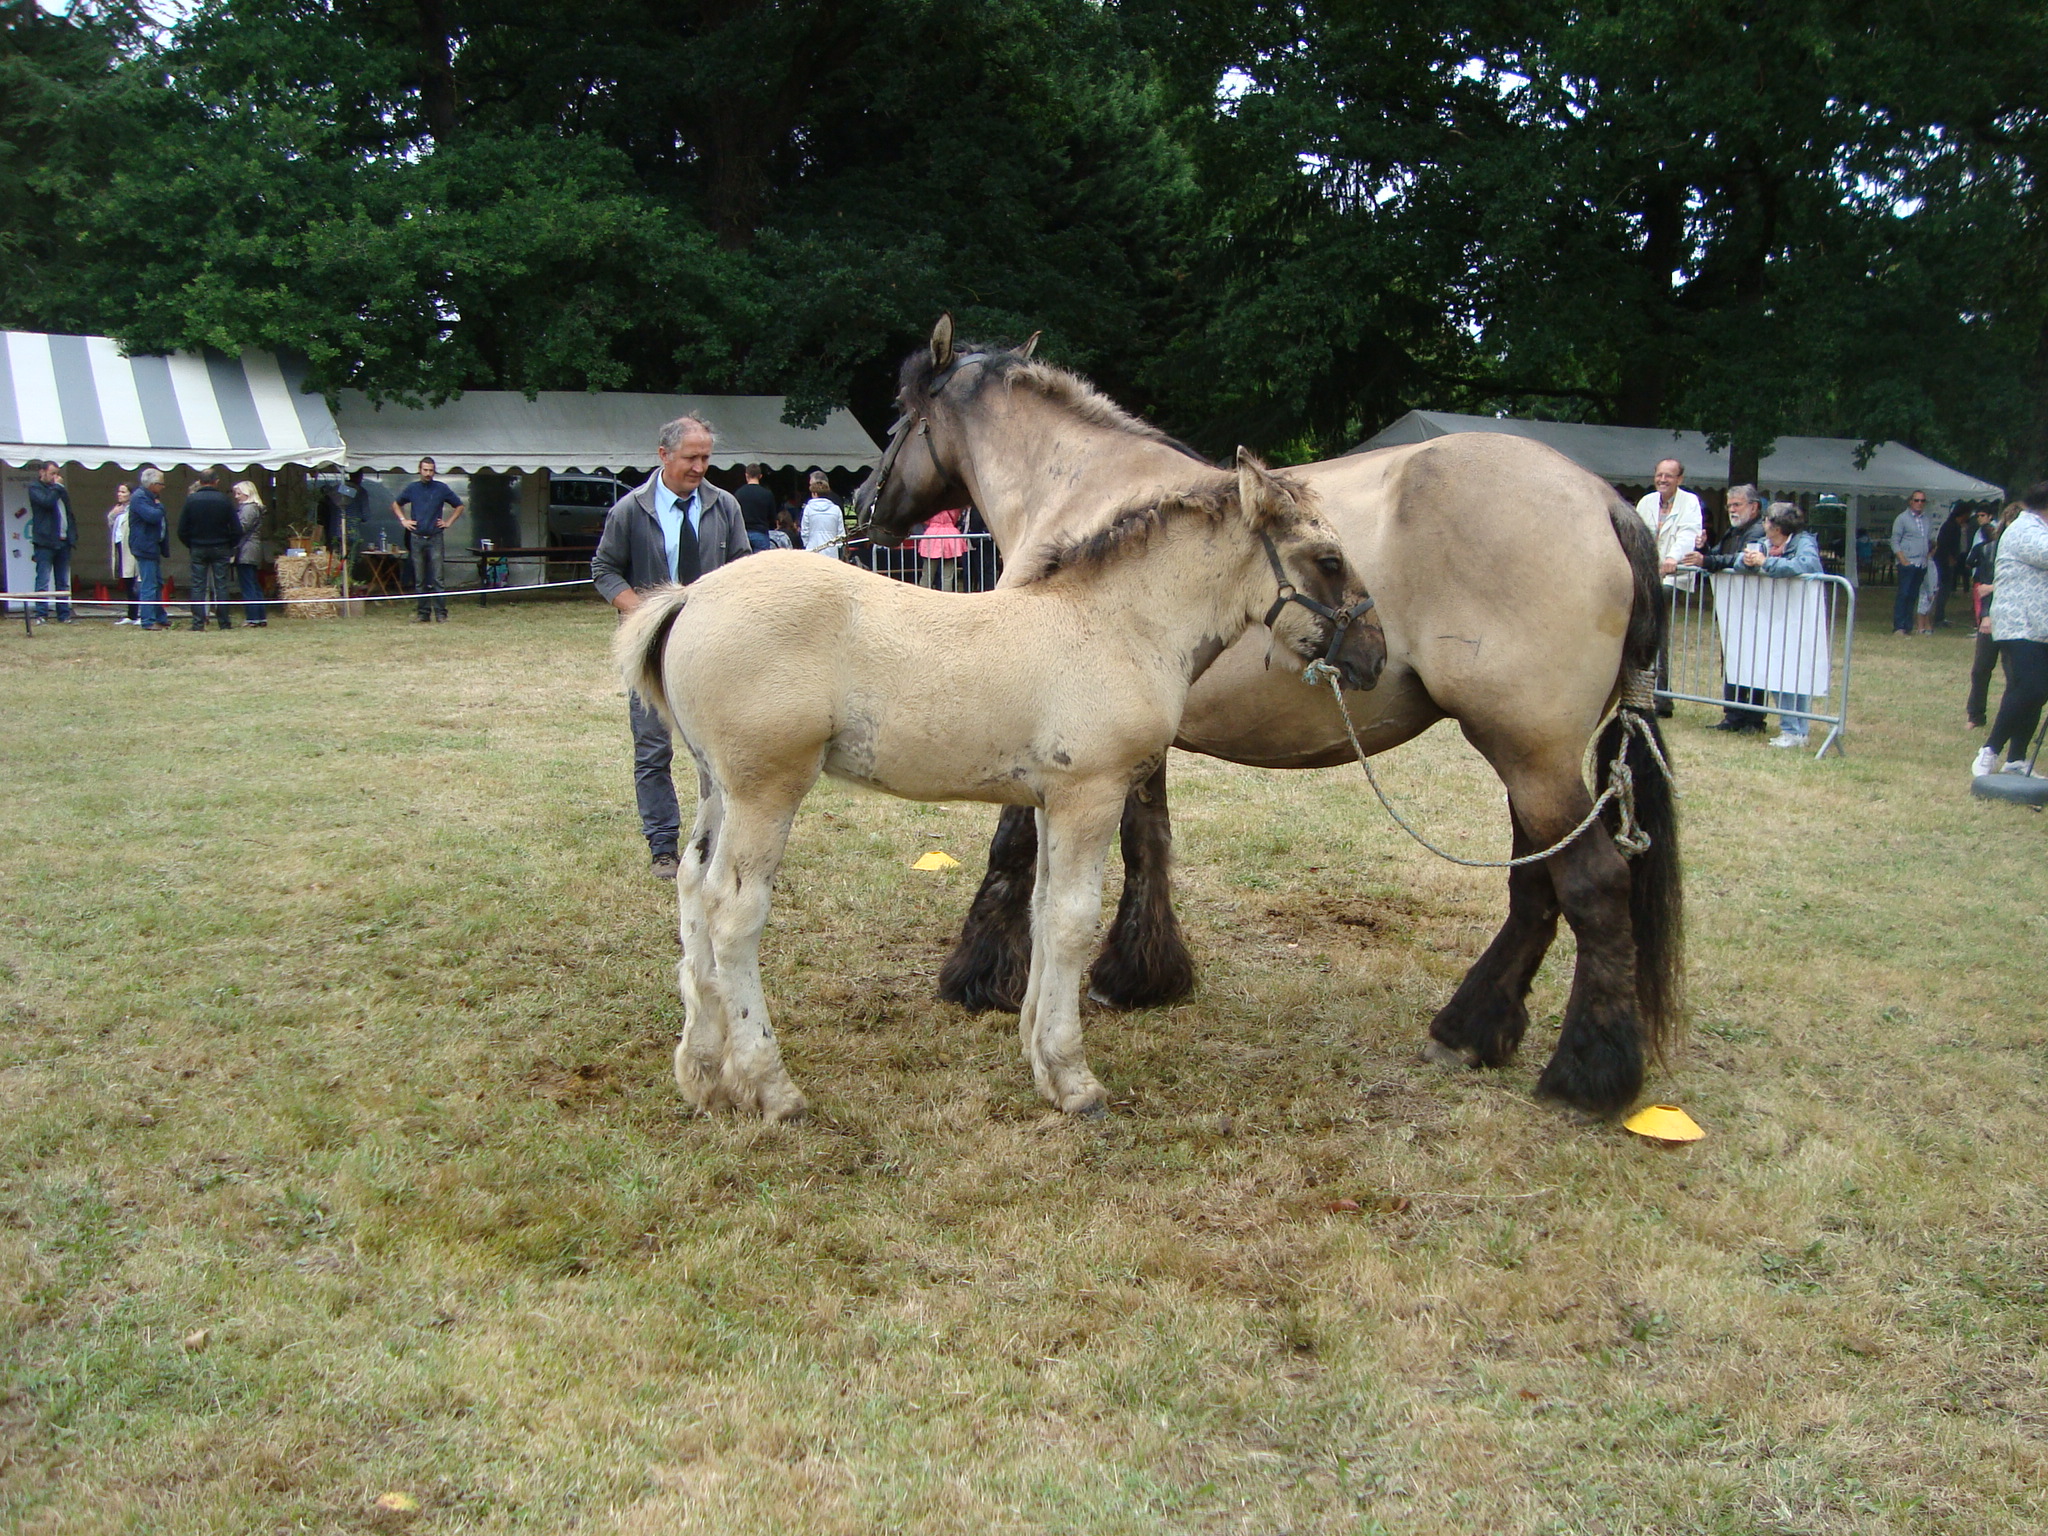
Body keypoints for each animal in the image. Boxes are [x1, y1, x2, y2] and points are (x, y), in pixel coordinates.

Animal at [606, 450, 1376, 1122]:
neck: (1118, 626)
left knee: (693, 893)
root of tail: (688, 596)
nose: (1374, 656)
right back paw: (771, 1088)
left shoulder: (1048, 801)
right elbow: (1071, 922)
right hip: (765, 788)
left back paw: (704, 1075)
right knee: (734, 914)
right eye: (1328, 559)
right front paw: (1073, 1079)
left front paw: (1039, 1058)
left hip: (714, 784)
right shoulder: (1090, 795)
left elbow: (1041, 910)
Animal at [847, 321, 1679, 1122]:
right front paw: (1142, 975)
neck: (1079, 486)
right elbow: (1148, 843)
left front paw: (978, 976)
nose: (866, 508)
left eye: (895, 417)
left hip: (1531, 756)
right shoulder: (1130, 741)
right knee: (1538, 889)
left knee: (1593, 886)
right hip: (1528, 761)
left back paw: (1587, 1074)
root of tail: (1604, 501)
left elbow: (1015, 850)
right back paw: (1472, 1030)